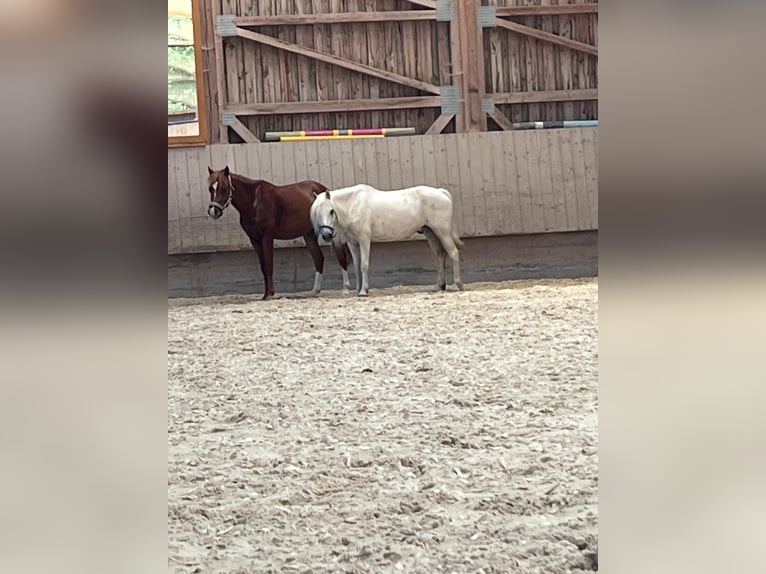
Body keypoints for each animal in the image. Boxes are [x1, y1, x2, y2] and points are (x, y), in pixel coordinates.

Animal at [206, 166, 352, 300]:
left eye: (224, 188)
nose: (214, 211)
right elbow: (263, 266)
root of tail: (323, 190)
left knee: (340, 256)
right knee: (318, 258)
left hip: (331, 232)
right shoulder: (254, 240)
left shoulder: (267, 237)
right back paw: (314, 291)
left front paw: (270, 294)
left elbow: (268, 265)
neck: (254, 201)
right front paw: (265, 295)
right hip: (309, 234)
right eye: (210, 188)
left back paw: (345, 289)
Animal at [310, 184, 464, 296]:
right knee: (440, 255)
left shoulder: (364, 240)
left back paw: (458, 285)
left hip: (442, 232)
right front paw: (358, 290)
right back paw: (439, 285)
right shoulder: (353, 244)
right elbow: (356, 267)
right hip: (431, 233)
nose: (327, 235)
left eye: (331, 211)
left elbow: (364, 265)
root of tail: (441, 192)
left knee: (453, 253)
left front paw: (363, 291)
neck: (354, 205)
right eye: (316, 213)